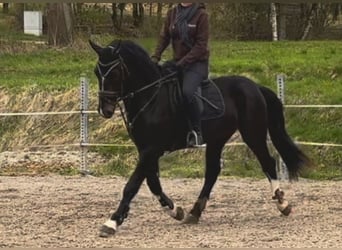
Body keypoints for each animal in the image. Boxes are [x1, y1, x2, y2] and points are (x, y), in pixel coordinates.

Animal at [89, 39, 312, 236]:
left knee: (267, 162)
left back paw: (282, 203)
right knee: (212, 172)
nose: (105, 110)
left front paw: (112, 222)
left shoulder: (151, 150)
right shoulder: (146, 150)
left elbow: (132, 185)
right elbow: (153, 184)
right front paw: (175, 210)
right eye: (97, 72)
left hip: (253, 134)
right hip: (217, 139)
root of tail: (255, 86)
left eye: (115, 72)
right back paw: (194, 213)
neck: (150, 98)